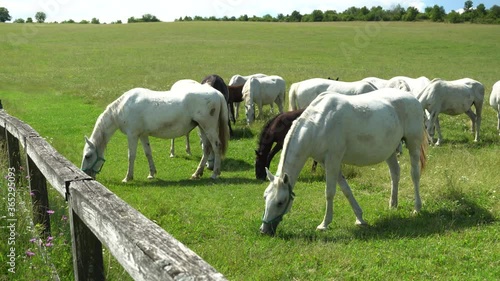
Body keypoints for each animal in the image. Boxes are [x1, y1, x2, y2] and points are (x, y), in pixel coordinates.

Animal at [82, 86, 230, 180]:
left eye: (88, 156)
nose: (85, 174)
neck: (121, 108)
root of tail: (217, 93)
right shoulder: (142, 135)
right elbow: (148, 153)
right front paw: (151, 174)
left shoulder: (132, 135)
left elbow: (131, 156)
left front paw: (128, 177)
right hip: (202, 128)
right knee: (207, 149)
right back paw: (196, 174)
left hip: (208, 127)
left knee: (216, 146)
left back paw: (215, 174)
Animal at [260, 87, 428, 234]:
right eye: (265, 197)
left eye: (280, 202)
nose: (264, 230)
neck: (318, 123)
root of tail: (413, 98)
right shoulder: (326, 162)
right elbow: (345, 189)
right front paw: (359, 218)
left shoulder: (333, 160)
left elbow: (330, 192)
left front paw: (324, 224)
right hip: (390, 151)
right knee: (395, 173)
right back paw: (393, 205)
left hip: (413, 144)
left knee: (414, 174)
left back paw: (417, 208)